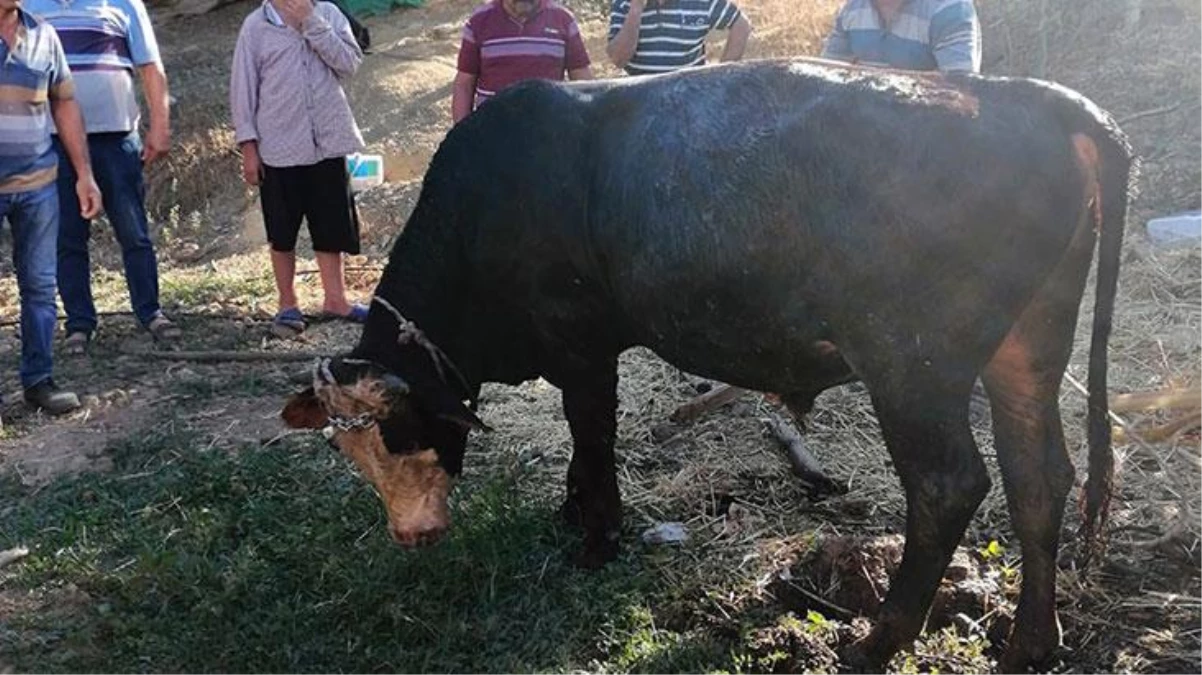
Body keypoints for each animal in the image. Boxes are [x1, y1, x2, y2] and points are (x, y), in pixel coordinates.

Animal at [283, 59, 1134, 667]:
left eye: (399, 432)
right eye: (353, 454)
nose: (412, 536)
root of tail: (1025, 97)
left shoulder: (580, 345)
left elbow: (593, 438)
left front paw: (596, 538)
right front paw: (571, 511)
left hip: (911, 365)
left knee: (949, 486)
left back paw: (875, 642)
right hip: (1026, 348)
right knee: (1039, 476)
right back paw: (1030, 643)